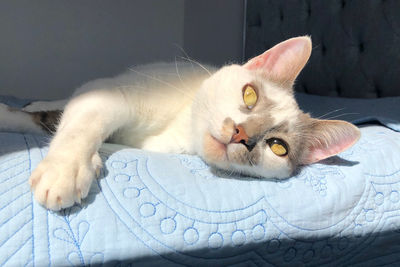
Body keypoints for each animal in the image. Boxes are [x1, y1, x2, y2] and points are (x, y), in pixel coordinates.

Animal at [0, 36, 360, 211]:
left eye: (278, 147)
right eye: (250, 95)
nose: (241, 134)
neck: (180, 124)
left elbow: (58, 124)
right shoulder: (108, 96)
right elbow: (73, 124)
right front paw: (65, 170)